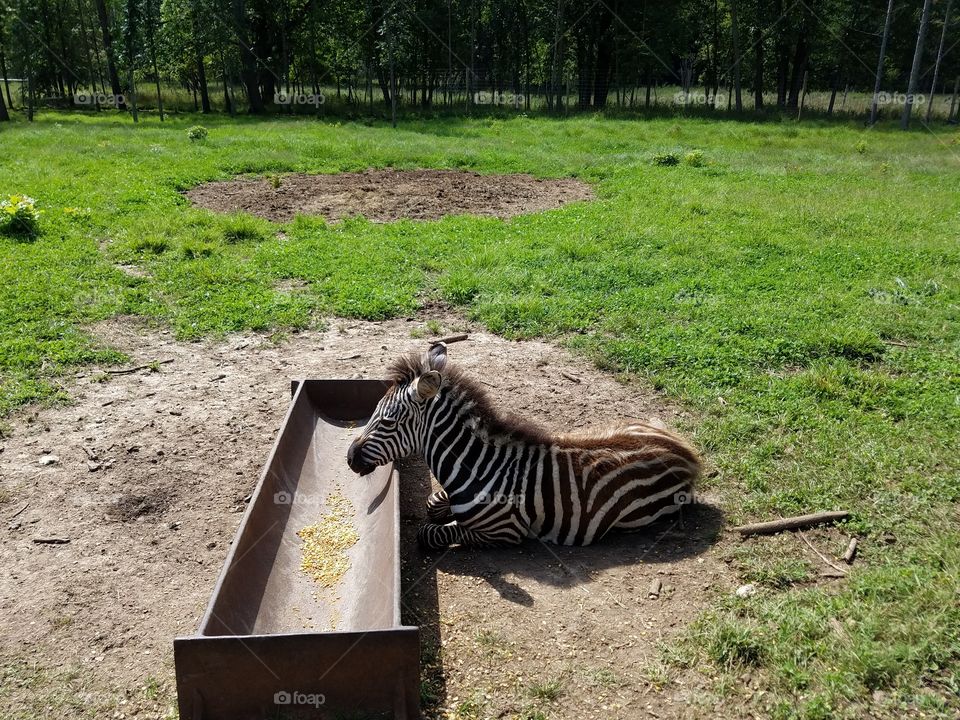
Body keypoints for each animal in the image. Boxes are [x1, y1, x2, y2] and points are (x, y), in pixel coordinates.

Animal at [346, 343, 702, 550]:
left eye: (388, 421)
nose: (350, 458)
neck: (476, 466)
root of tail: (684, 452)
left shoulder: (505, 531)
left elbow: (432, 533)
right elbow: (434, 503)